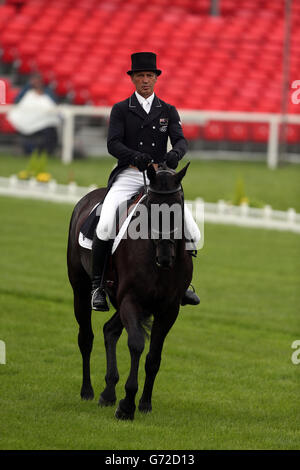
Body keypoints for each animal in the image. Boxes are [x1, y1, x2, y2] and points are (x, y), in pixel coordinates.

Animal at [66, 163, 192, 420]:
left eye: (179, 204)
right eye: (151, 205)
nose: (166, 257)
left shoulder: (168, 309)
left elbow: (153, 357)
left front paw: (144, 403)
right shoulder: (131, 300)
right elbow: (136, 345)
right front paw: (127, 405)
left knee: (109, 330)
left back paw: (108, 392)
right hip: (80, 290)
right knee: (86, 337)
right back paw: (88, 391)